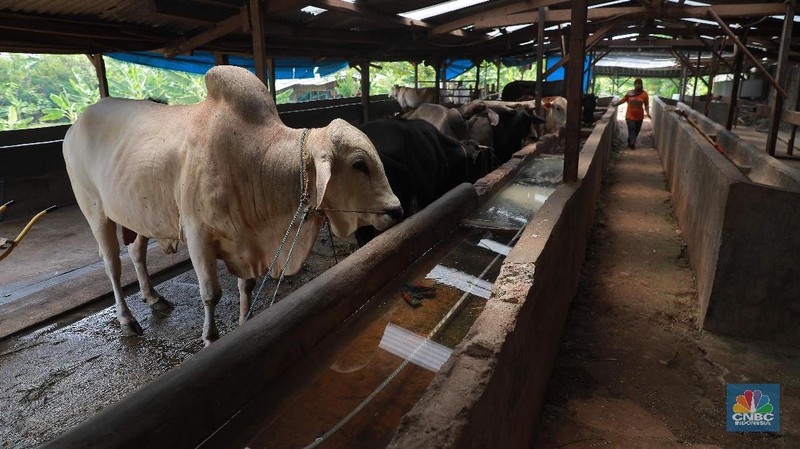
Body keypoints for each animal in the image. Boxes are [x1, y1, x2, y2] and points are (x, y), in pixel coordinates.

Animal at [63, 65, 404, 344]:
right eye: (359, 164)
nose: (397, 210)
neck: (256, 161)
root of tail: (75, 127)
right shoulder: (198, 236)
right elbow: (211, 295)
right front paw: (210, 339)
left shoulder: (244, 238)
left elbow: (247, 287)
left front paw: (242, 325)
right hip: (95, 212)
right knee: (113, 266)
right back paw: (127, 320)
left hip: (141, 214)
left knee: (136, 252)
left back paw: (152, 297)